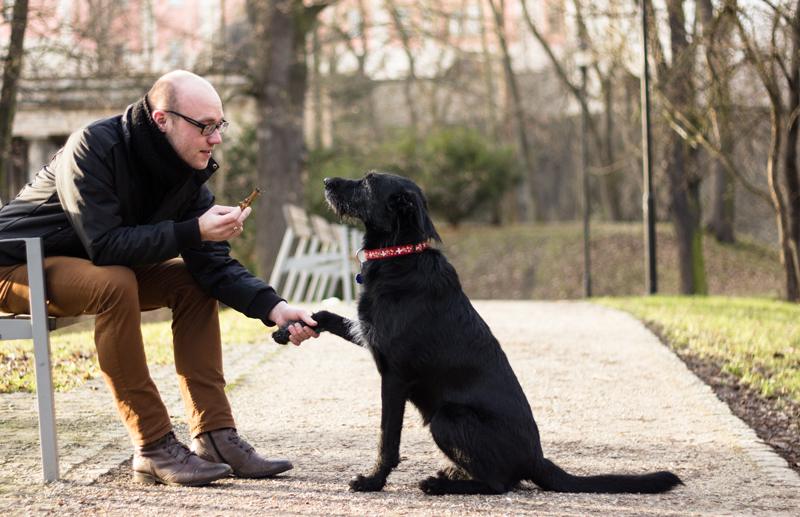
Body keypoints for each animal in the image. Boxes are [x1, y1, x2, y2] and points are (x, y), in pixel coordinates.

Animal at [274, 171, 680, 494]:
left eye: (369, 182)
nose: (326, 180)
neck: (399, 255)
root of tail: (537, 459)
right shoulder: (367, 333)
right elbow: (326, 315)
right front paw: (287, 328)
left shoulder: (394, 376)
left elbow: (387, 440)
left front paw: (373, 481)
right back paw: (451, 475)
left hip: (446, 418)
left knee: (500, 484)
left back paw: (440, 485)